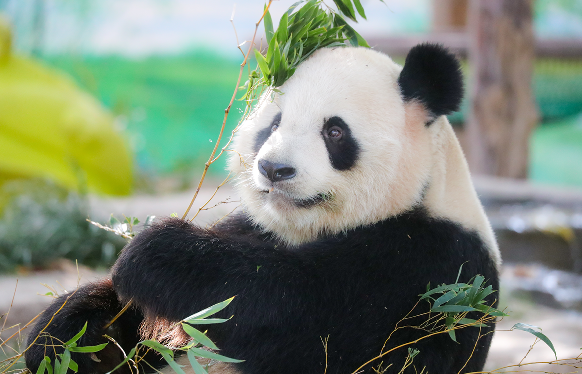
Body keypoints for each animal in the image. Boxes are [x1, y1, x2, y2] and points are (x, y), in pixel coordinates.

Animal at [26, 44, 502, 374]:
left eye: (334, 131)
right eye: (273, 124)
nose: (275, 169)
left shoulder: (431, 266)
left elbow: (296, 311)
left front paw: (155, 251)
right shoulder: (253, 227)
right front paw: (72, 336)